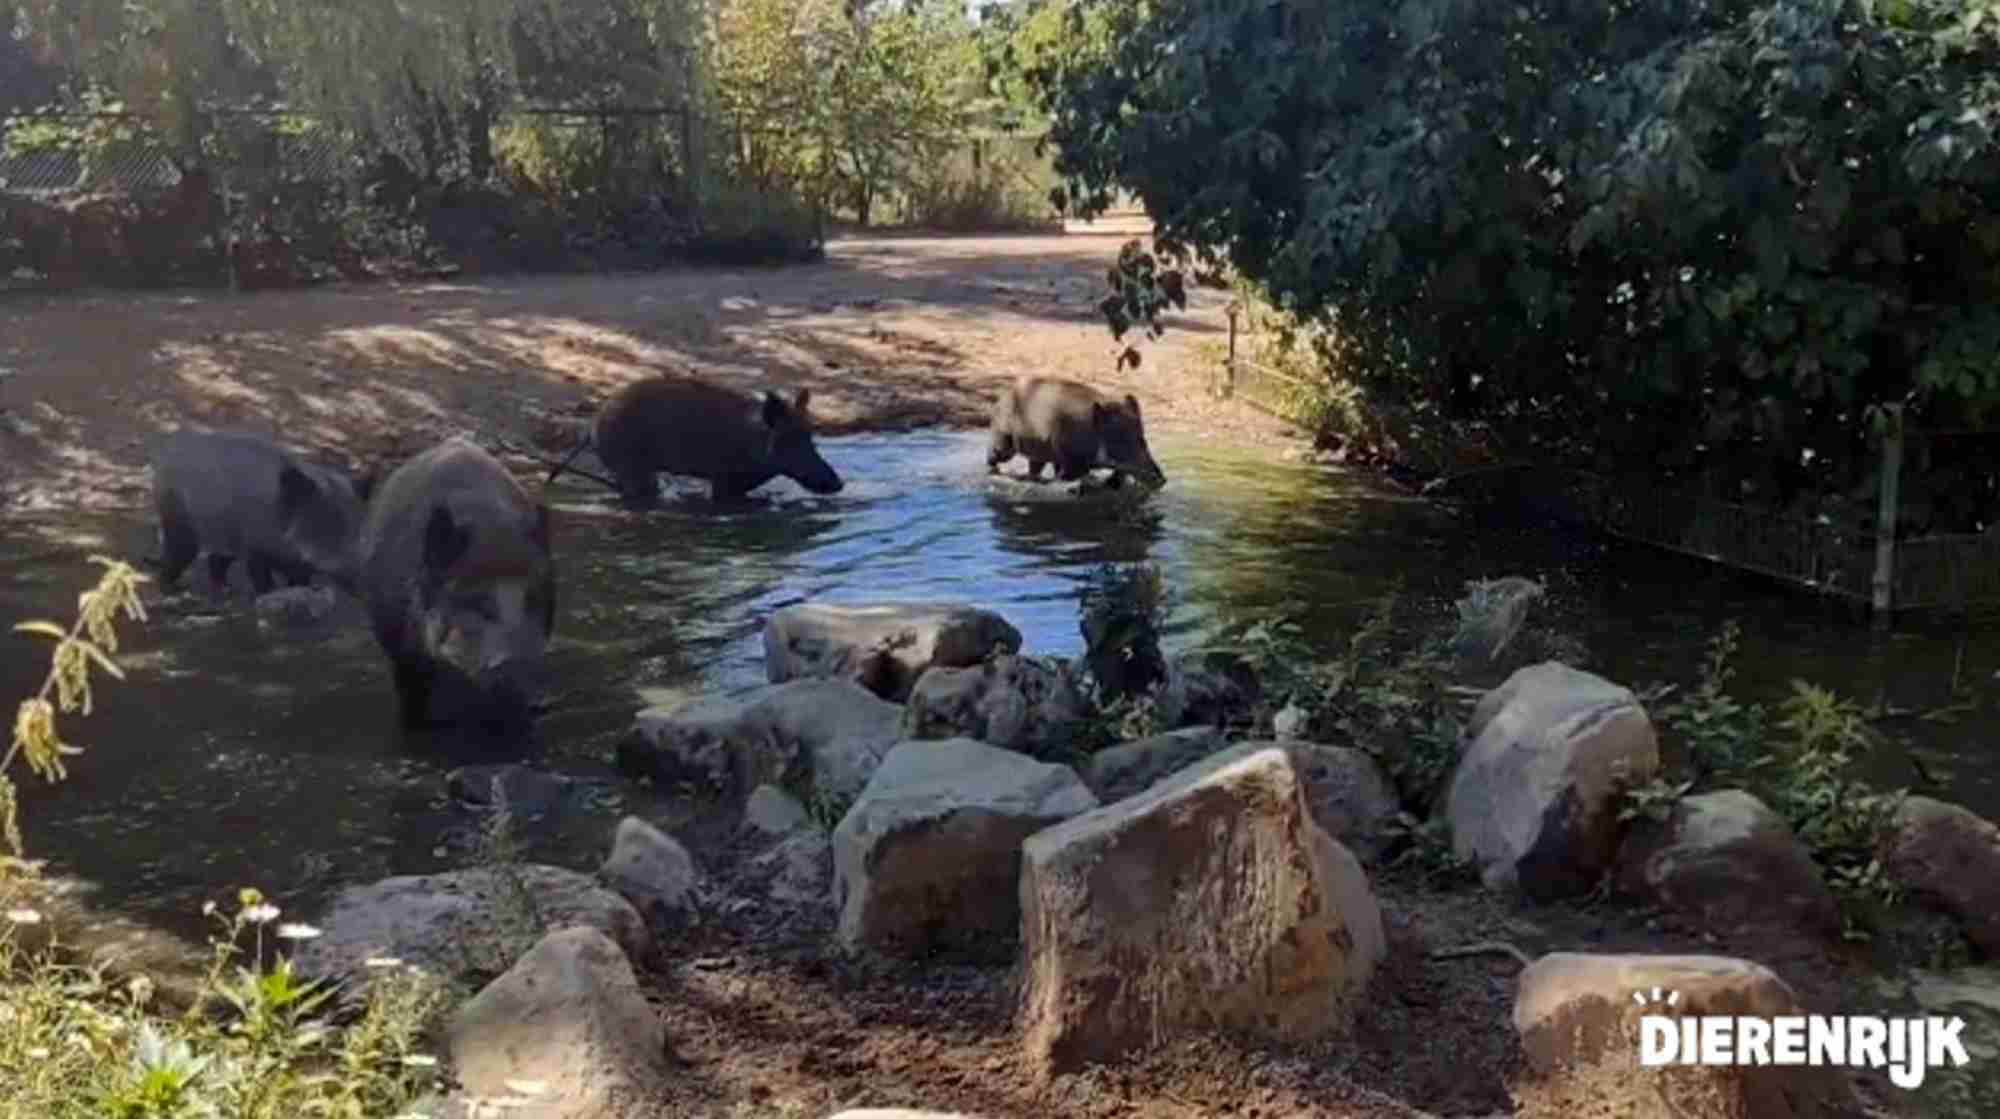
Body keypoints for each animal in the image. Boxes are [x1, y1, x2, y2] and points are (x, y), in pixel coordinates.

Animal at [151, 429, 374, 595]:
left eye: (357, 526)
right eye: (324, 525)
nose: (359, 580)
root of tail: (165, 456)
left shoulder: (297, 566)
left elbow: (299, 583)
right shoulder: (256, 550)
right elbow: (263, 581)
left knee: (216, 559)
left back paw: (224, 590)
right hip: (179, 523)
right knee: (178, 556)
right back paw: (170, 589)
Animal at [551, 376, 843, 505]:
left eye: (811, 436)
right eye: (789, 440)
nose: (837, 483)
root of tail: (592, 427)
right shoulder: (724, 483)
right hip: (634, 470)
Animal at [985, 377, 1167, 489]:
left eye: (1142, 439)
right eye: (1119, 441)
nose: (1161, 480)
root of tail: (1002, 397)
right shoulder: (1072, 463)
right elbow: (1069, 478)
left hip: (1039, 453)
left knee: (1034, 470)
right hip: (1003, 444)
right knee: (993, 457)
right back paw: (993, 472)